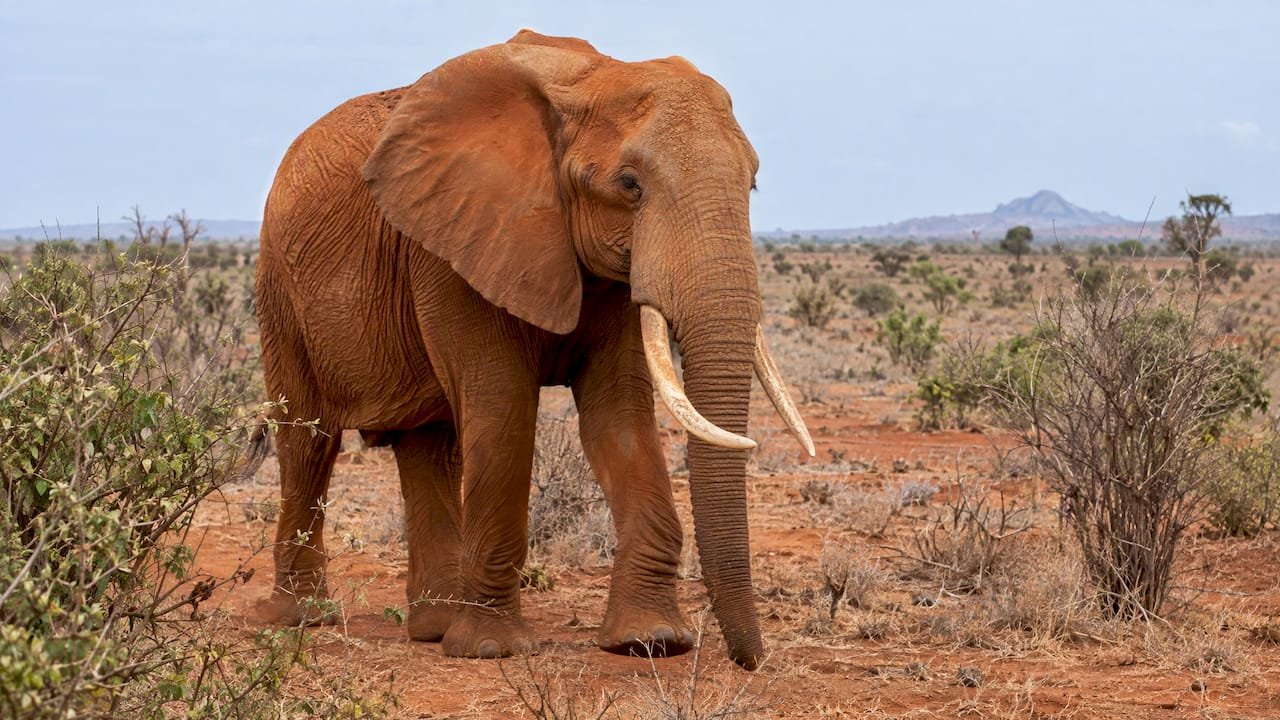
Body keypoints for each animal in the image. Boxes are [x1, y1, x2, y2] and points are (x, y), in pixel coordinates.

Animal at [255, 29, 813, 670]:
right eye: (630, 185)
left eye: (752, 183)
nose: (750, 660)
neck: (590, 77)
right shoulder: (456, 244)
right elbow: (504, 412)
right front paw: (491, 649)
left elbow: (620, 419)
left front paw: (650, 642)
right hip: (280, 287)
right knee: (309, 441)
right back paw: (303, 619)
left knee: (429, 446)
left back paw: (434, 626)